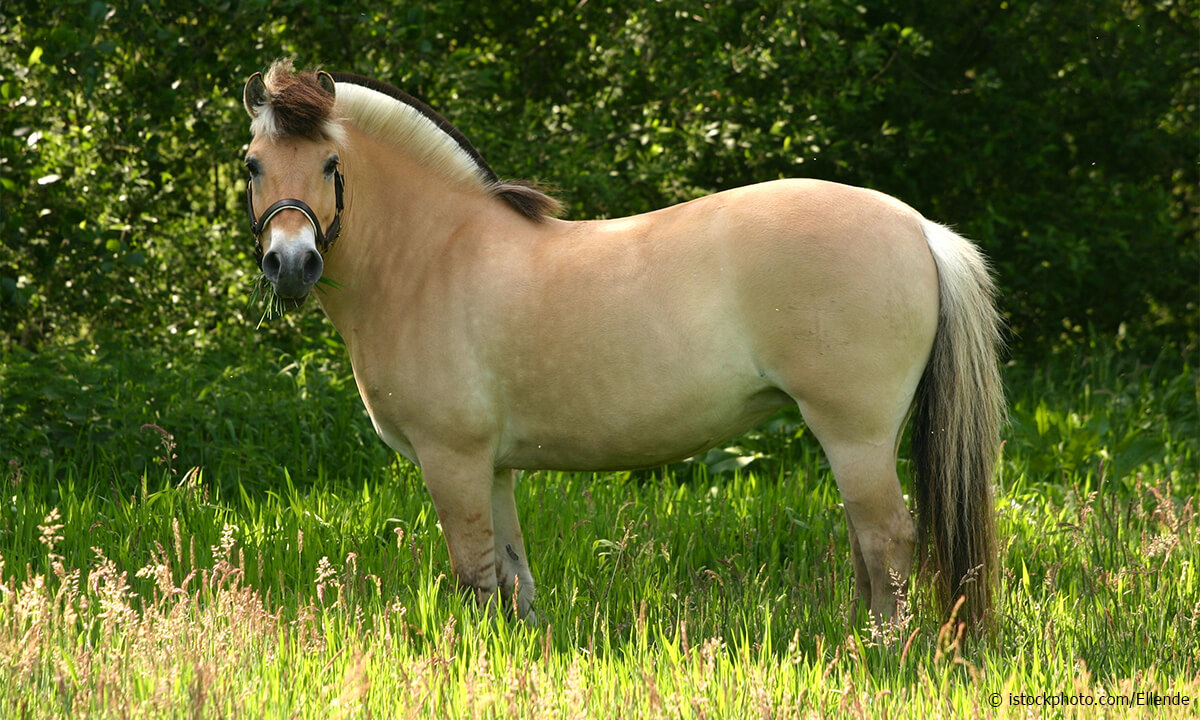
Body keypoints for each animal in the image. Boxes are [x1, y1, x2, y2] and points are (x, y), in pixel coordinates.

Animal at [240, 59, 1004, 630]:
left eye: (330, 161)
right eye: (252, 164)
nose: (291, 264)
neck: (434, 256)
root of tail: (917, 227)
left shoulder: (451, 460)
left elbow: (475, 576)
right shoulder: (494, 467)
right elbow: (513, 579)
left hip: (855, 435)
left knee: (887, 541)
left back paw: (883, 652)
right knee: (865, 547)